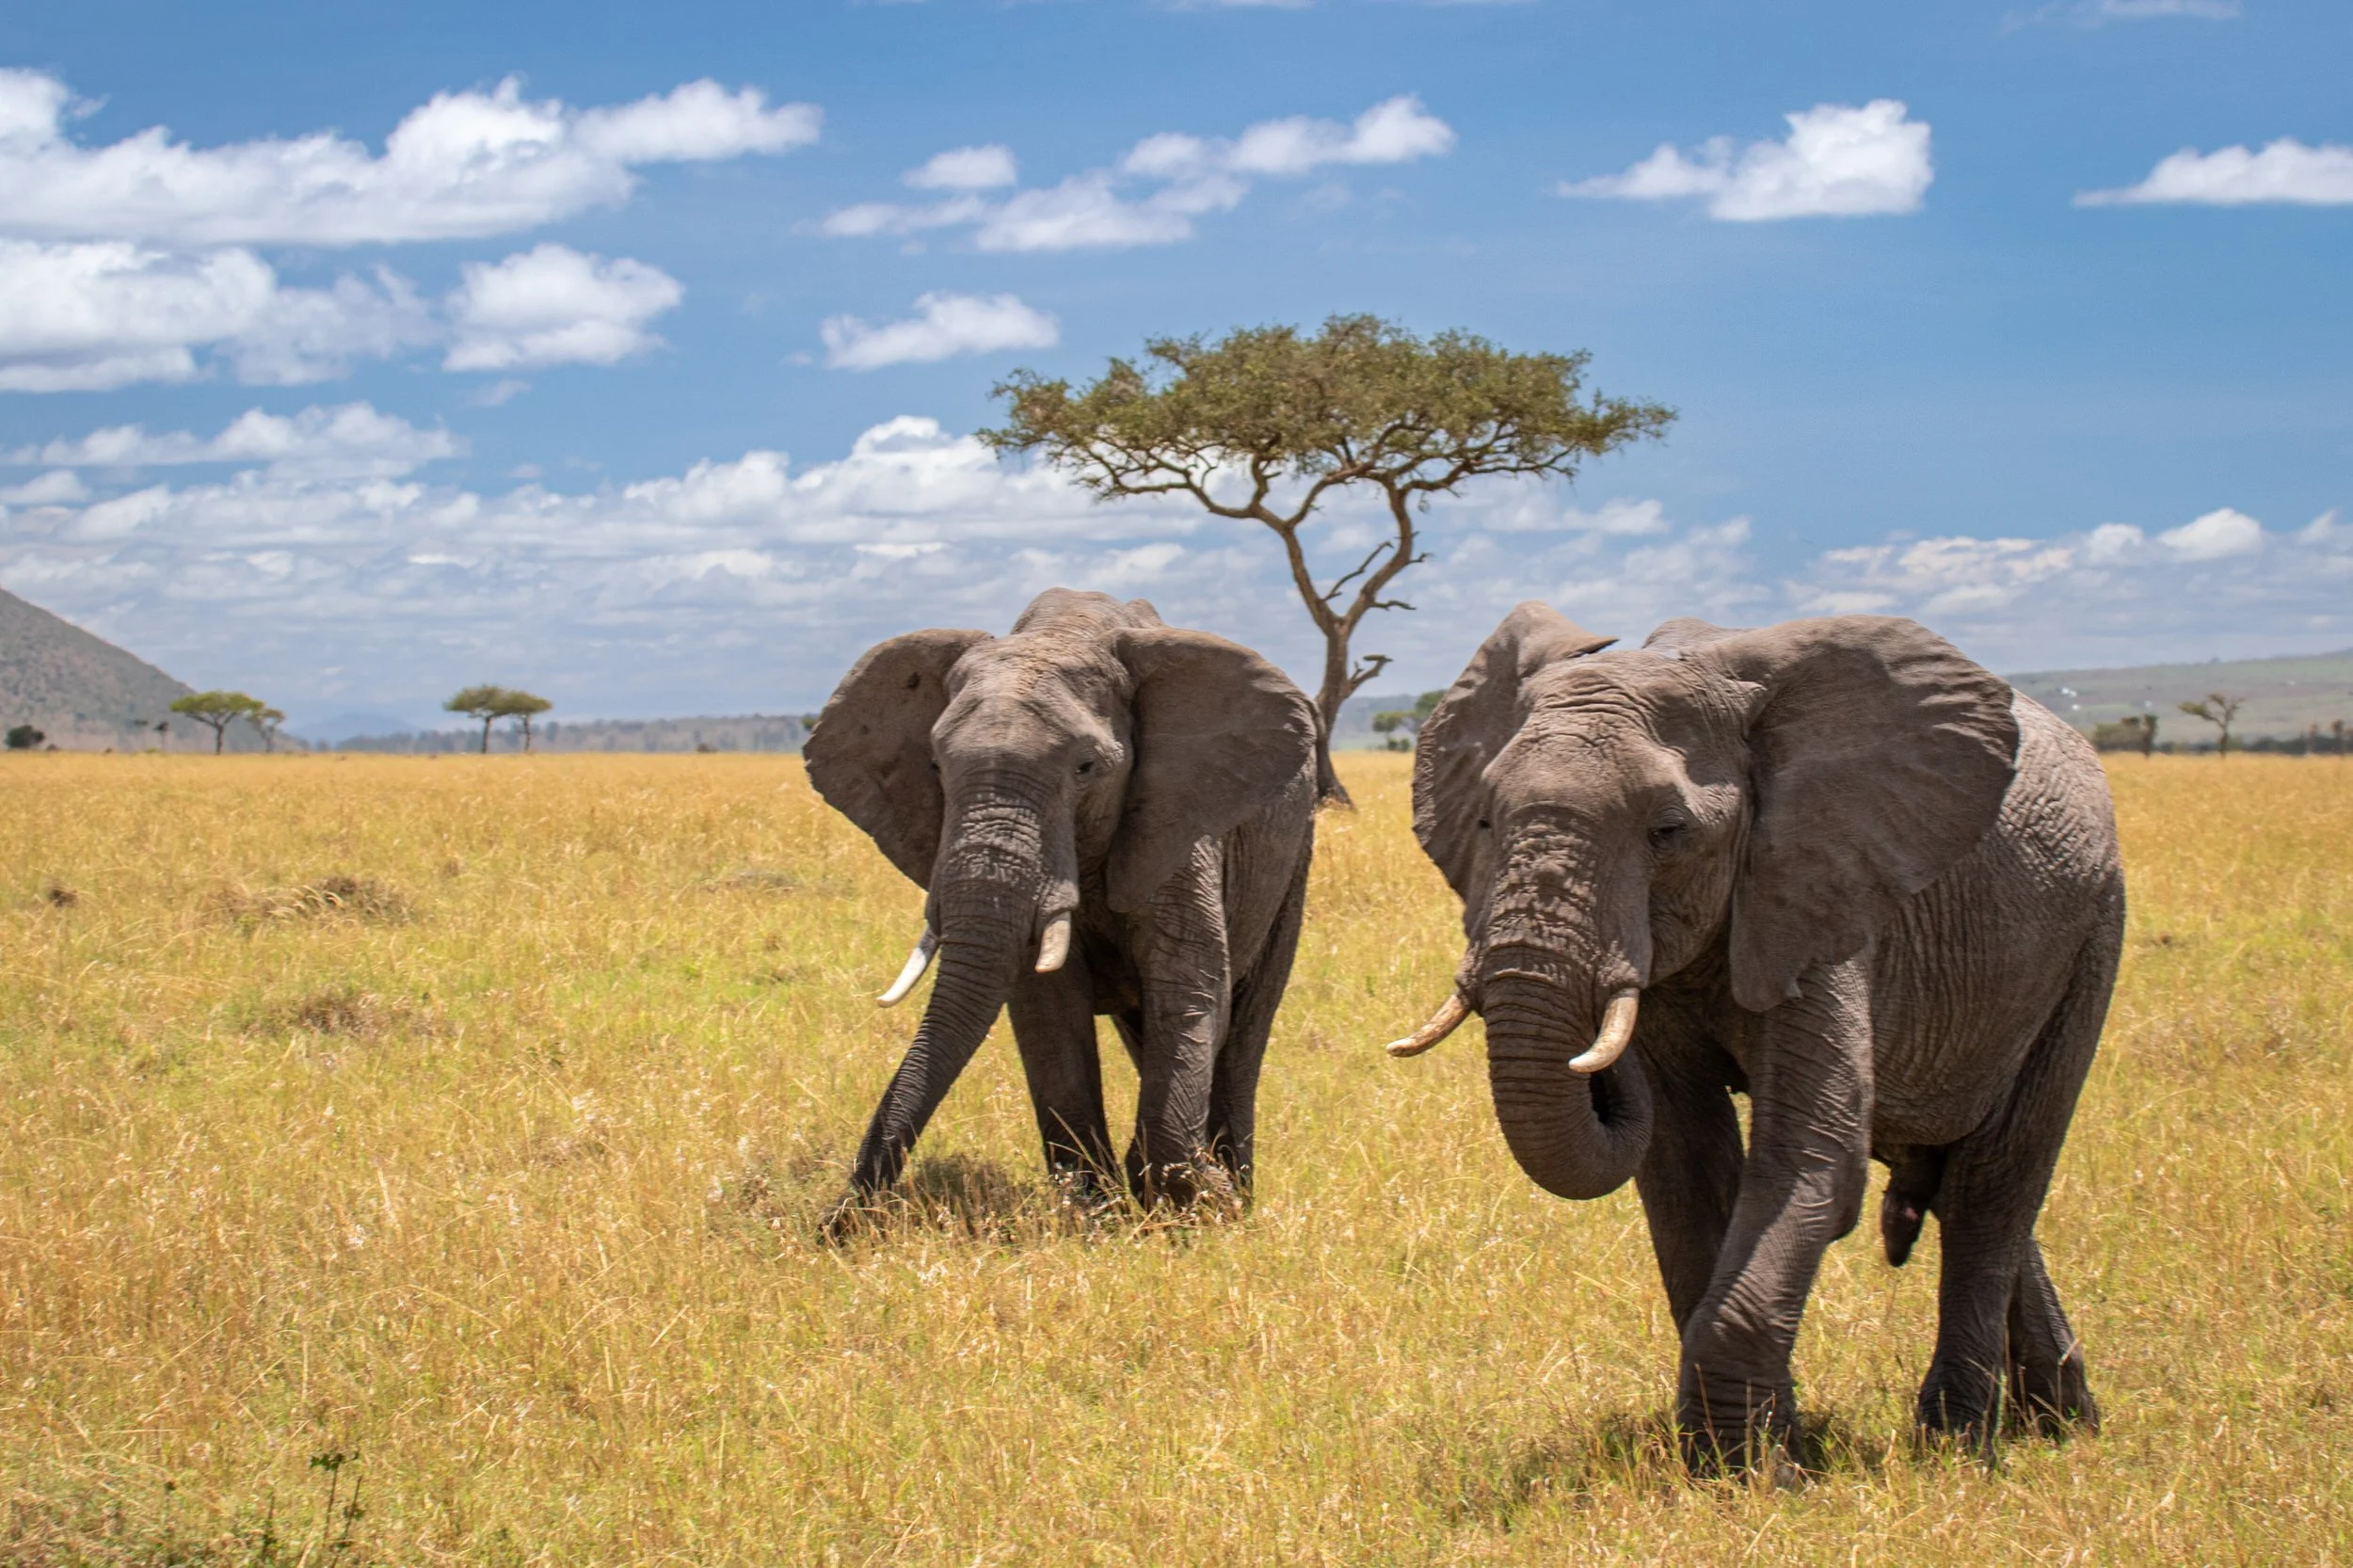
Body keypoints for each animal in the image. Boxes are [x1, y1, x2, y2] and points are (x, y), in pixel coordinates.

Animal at [804, 588, 1321, 1232]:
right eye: (935, 767)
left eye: (1085, 768)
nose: (837, 1223)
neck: (1065, 632)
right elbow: (1049, 1009)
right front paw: (1098, 1212)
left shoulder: (1179, 817)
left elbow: (1189, 983)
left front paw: (1194, 1207)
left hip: (1293, 856)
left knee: (1247, 1020)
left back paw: (1235, 1187)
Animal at [1387, 603, 2122, 1468]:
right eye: (1485, 820)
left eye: (1668, 832)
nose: (1595, 1056)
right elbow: (1684, 1166)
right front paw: (1751, 1453)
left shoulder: (1815, 888)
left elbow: (1811, 1158)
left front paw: (1753, 1470)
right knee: (1957, 1180)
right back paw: (2063, 1422)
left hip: (2091, 935)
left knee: (1994, 1184)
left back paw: (1959, 1442)